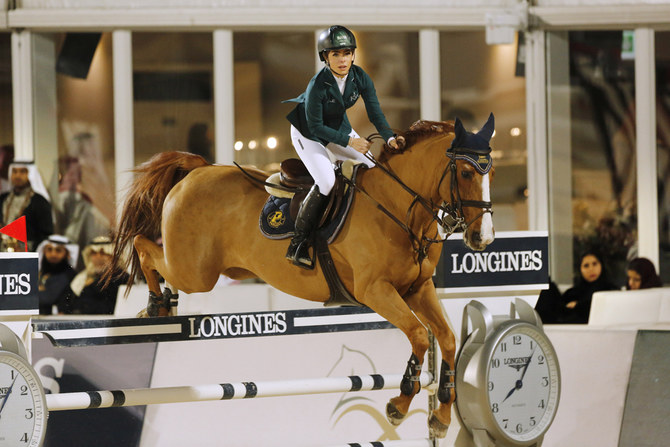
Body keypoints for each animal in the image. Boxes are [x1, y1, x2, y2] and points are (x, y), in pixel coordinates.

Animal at [110, 114, 496, 440]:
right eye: (465, 173)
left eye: (488, 172)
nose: (483, 239)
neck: (398, 208)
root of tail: (198, 170)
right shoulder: (376, 291)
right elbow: (418, 335)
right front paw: (398, 405)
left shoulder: (418, 288)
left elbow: (446, 339)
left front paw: (441, 416)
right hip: (195, 271)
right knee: (143, 244)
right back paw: (155, 304)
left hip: (198, 270)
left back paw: (163, 304)